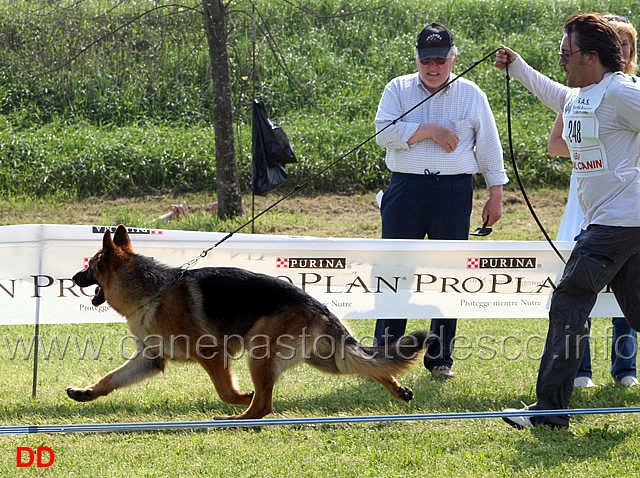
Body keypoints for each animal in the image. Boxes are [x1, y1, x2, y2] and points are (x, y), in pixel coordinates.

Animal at [69, 226, 436, 420]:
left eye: (89, 265)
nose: (72, 278)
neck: (151, 290)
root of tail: (318, 305)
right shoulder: (150, 357)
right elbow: (111, 378)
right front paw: (87, 392)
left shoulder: (212, 354)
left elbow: (226, 391)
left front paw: (240, 395)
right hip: (325, 360)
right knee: (365, 366)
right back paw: (397, 388)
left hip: (259, 353)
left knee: (264, 404)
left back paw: (238, 417)